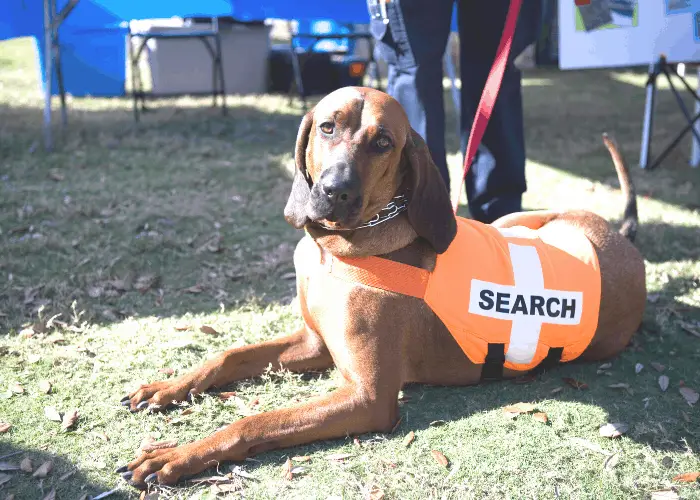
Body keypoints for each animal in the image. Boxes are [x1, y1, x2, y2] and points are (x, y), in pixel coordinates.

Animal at [116, 87, 644, 488]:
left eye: (384, 142)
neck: (339, 249)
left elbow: (258, 419)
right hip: (514, 221)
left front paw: (176, 455)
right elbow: (229, 355)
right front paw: (168, 387)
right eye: (327, 127)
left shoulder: (367, 398)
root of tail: (625, 241)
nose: (334, 191)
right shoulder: (315, 343)